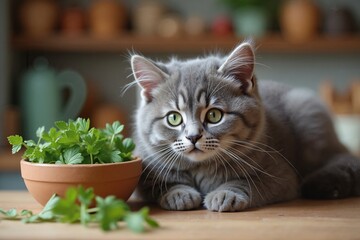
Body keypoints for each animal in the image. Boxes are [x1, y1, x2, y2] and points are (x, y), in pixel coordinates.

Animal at [129, 41, 360, 212]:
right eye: (174, 119)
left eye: (214, 115)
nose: (193, 137)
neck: (201, 168)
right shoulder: (147, 163)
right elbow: (156, 183)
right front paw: (178, 193)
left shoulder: (282, 175)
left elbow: (249, 182)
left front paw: (226, 193)